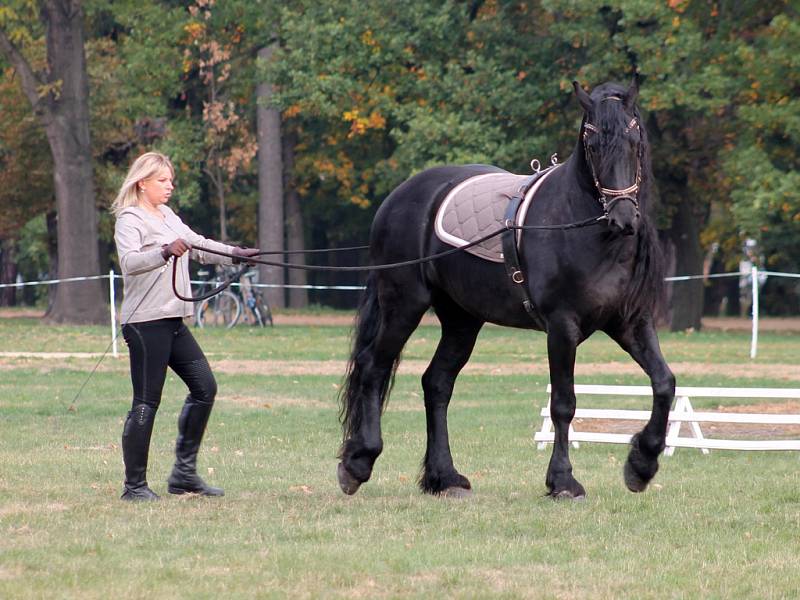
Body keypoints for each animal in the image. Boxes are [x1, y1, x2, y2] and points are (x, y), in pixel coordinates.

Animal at [334, 79, 672, 502]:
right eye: (593, 146)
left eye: (635, 141)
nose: (624, 217)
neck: (584, 228)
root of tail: (399, 197)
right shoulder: (562, 328)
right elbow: (563, 403)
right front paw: (563, 481)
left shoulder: (630, 323)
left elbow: (664, 382)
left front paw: (642, 465)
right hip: (403, 305)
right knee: (373, 368)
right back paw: (358, 462)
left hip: (462, 320)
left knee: (436, 383)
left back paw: (444, 477)